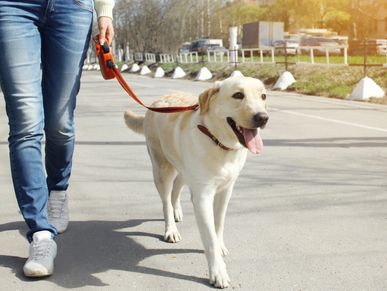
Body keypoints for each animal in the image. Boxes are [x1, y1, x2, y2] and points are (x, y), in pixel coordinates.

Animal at [124, 76, 270, 288]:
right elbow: (209, 237)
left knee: (176, 190)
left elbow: (218, 224)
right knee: (166, 201)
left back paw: (177, 212)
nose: (262, 118)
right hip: (162, 169)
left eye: (263, 96)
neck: (218, 142)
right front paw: (218, 272)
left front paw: (220, 245)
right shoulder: (203, 196)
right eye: (238, 95)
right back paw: (171, 228)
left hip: (184, 170)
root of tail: (156, 102)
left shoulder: (226, 190)